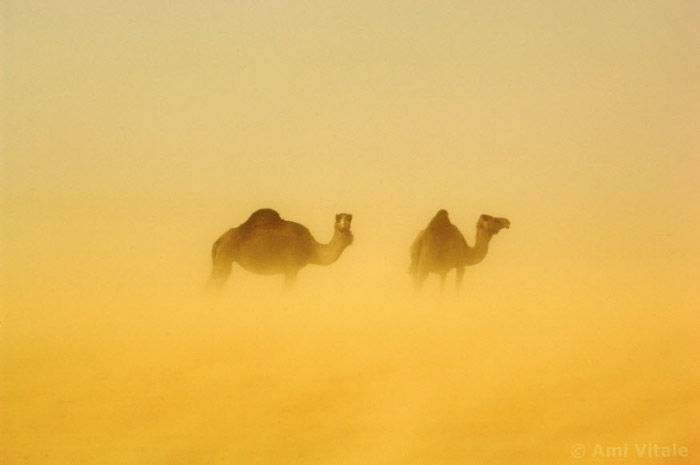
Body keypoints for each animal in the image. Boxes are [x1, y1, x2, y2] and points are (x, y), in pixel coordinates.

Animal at [205, 209, 352, 292]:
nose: (344, 226)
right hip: (225, 253)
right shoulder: (291, 268)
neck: (311, 249)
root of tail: (219, 240)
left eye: (350, 219)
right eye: (338, 219)